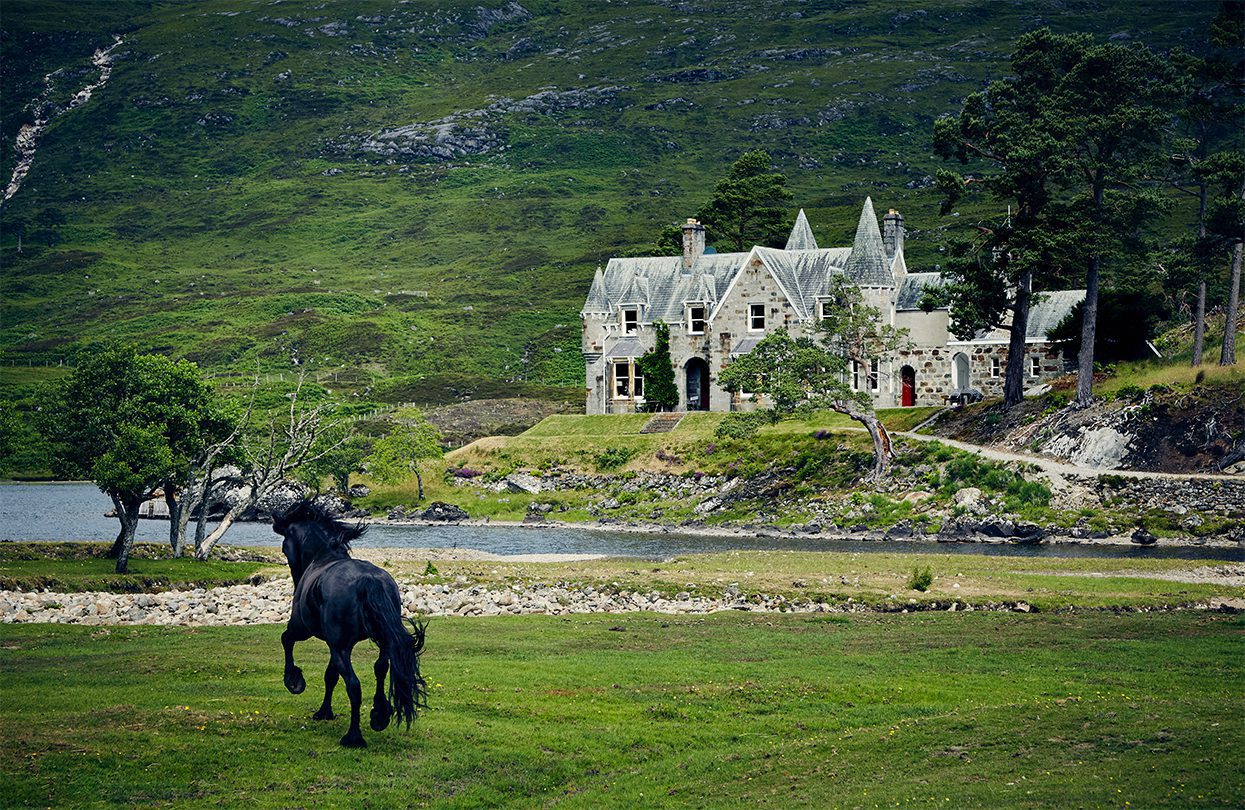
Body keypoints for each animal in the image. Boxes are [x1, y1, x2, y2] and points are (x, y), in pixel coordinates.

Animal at [272, 500, 428, 746]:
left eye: (284, 548)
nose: (296, 580)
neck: (323, 557)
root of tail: (369, 580)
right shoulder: (333, 644)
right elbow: (330, 675)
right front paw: (324, 711)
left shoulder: (303, 629)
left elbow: (286, 640)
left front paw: (294, 680)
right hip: (379, 642)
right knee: (380, 668)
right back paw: (379, 715)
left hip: (339, 647)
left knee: (354, 686)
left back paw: (353, 736)